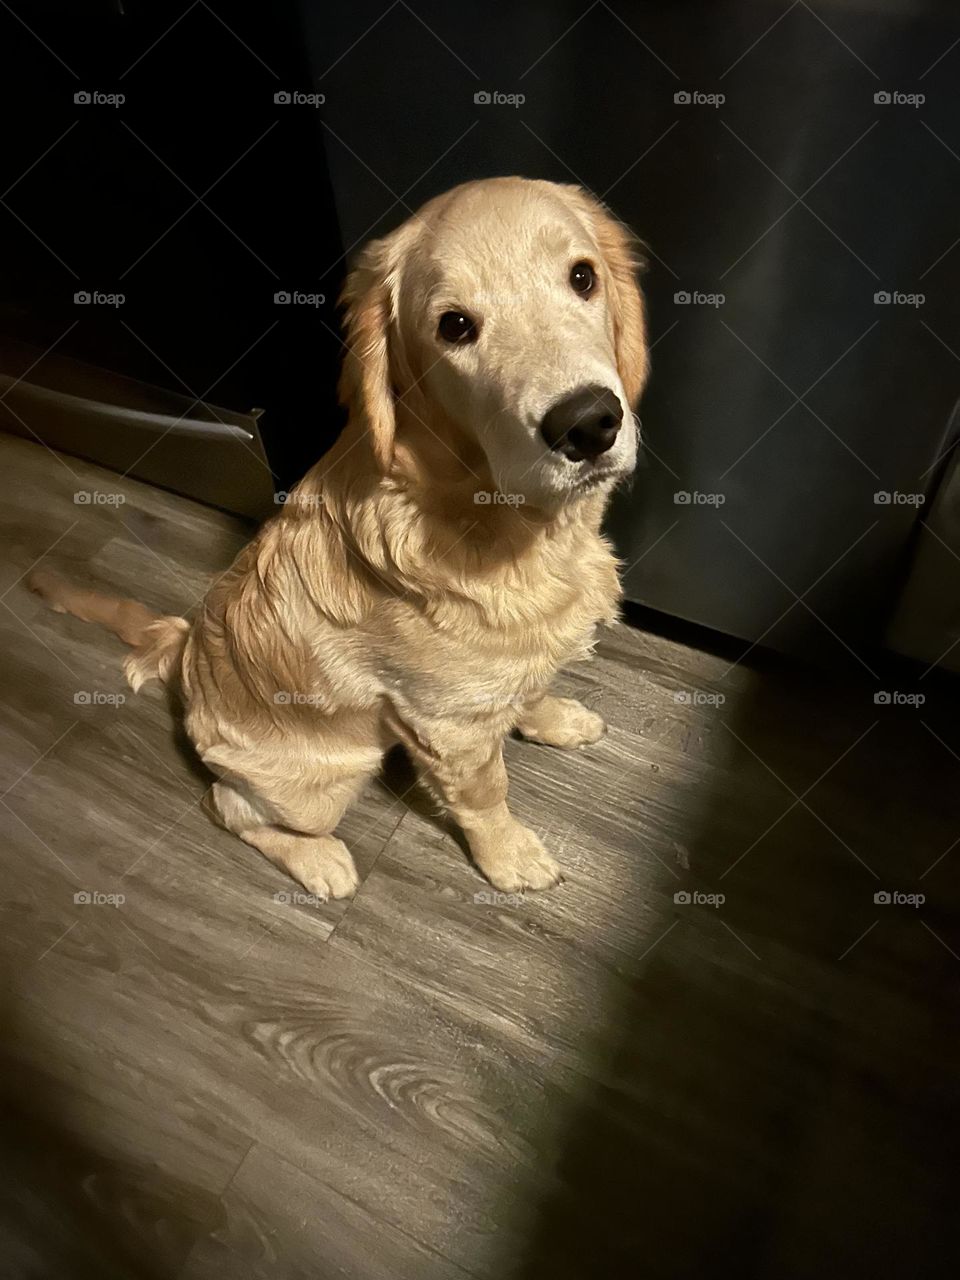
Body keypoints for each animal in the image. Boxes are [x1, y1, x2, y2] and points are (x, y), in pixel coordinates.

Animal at [30, 177, 650, 901]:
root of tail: (184, 656)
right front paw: (509, 855)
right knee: (225, 806)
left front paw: (556, 719)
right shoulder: (446, 727)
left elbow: (530, 687)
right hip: (320, 785)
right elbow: (485, 794)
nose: (587, 424)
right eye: (454, 327)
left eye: (583, 277)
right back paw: (320, 861)